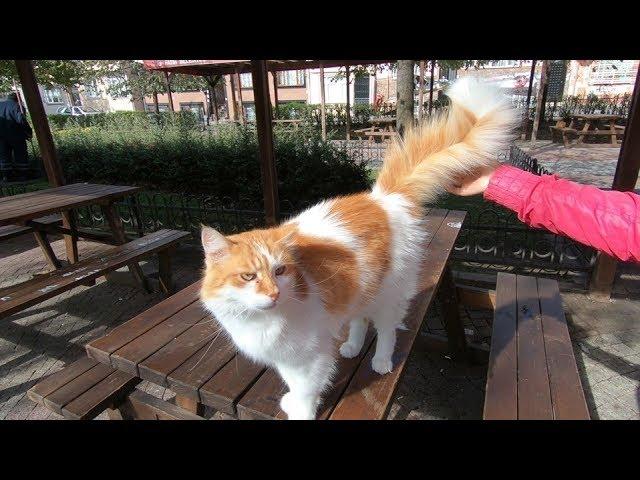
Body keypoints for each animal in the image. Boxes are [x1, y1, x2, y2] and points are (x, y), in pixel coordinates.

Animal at [198, 77, 516, 418]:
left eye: (280, 271)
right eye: (248, 277)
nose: (274, 294)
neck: (260, 320)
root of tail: (382, 198)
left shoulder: (310, 355)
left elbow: (307, 388)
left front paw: (301, 409)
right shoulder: (287, 356)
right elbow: (293, 382)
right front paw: (292, 399)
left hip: (388, 294)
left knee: (387, 329)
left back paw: (381, 361)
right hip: (363, 287)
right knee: (360, 319)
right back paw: (352, 346)